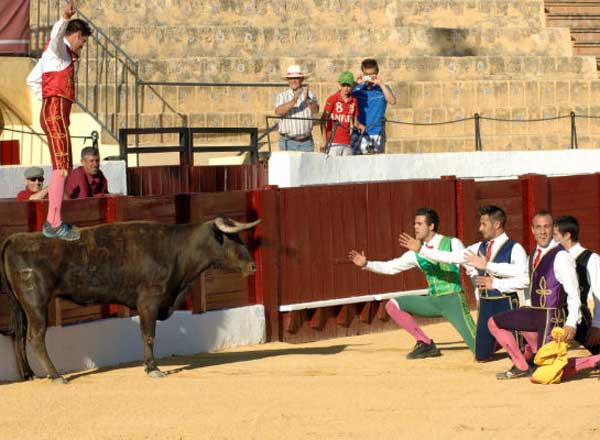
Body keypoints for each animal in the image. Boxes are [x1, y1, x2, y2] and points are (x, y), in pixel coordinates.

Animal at [0, 217, 258, 382]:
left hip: (23, 305)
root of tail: (15, 238)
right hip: (36, 302)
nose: (253, 266)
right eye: (233, 239)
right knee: (36, 336)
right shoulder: (149, 302)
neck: (178, 249)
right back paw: (55, 376)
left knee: (20, 335)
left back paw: (29, 374)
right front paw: (153, 368)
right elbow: (148, 334)